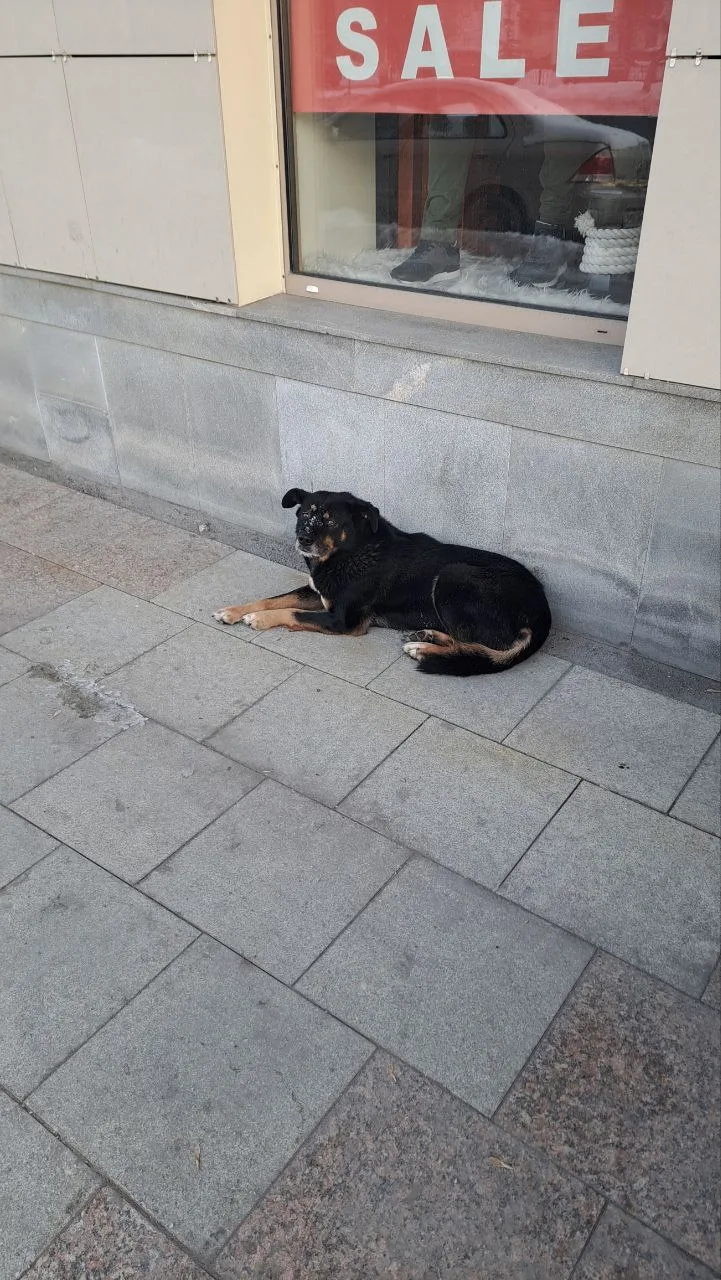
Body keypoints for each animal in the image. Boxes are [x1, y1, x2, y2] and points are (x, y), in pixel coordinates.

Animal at [213, 488, 551, 676]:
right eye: (304, 515)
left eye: (330, 521)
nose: (303, 539)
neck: (352, 552)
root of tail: (543, 609)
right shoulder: (319, 593)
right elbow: (275, 598)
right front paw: (233, 610)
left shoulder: (343, 621)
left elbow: (292, 612)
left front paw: (258, 618)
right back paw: (428, 635)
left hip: (453, 575)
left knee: (482, 645)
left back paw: (424, 648)